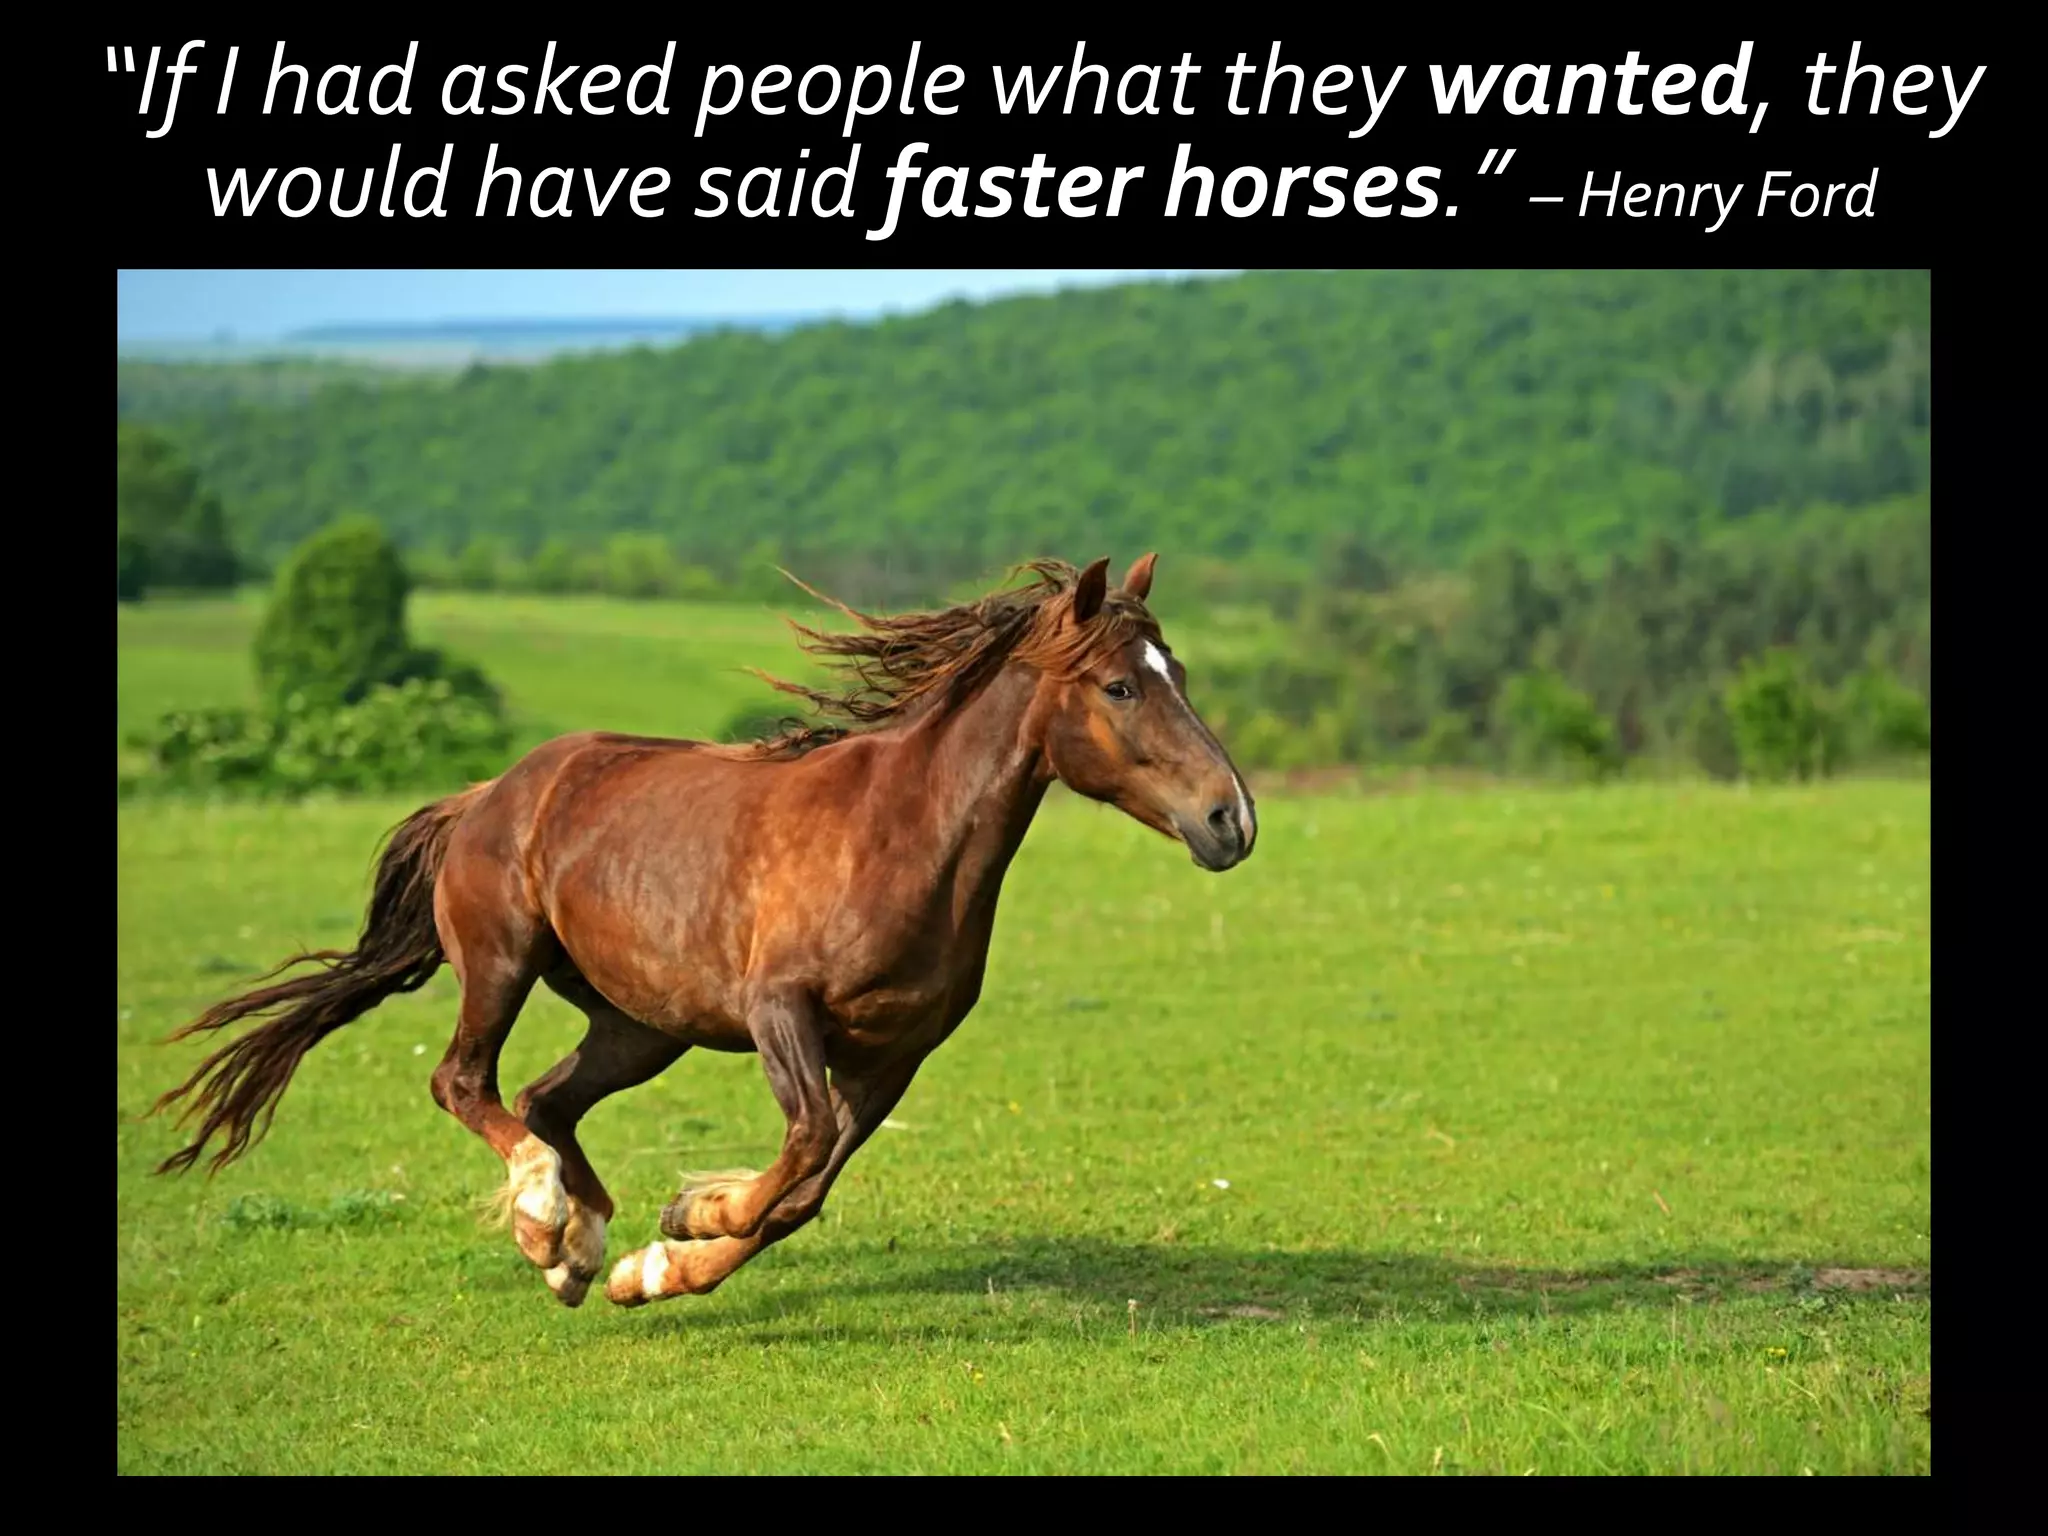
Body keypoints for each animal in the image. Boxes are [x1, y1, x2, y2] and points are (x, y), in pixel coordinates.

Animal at [150, 554, 1256, 1309]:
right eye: (1120, 685)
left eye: (1177, 669)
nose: (1230, 820)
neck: (900, 836)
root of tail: (485, 795)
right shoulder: (780, 1011)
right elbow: (800, 1150)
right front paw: (690, 1219)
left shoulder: (895, 1052)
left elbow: (805, 1191)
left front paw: (657, 1261)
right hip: (503, 964)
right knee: (464, 1082)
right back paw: (544, 1219)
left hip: (642, 1025)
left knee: (547, 1099)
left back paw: (578, 1252)